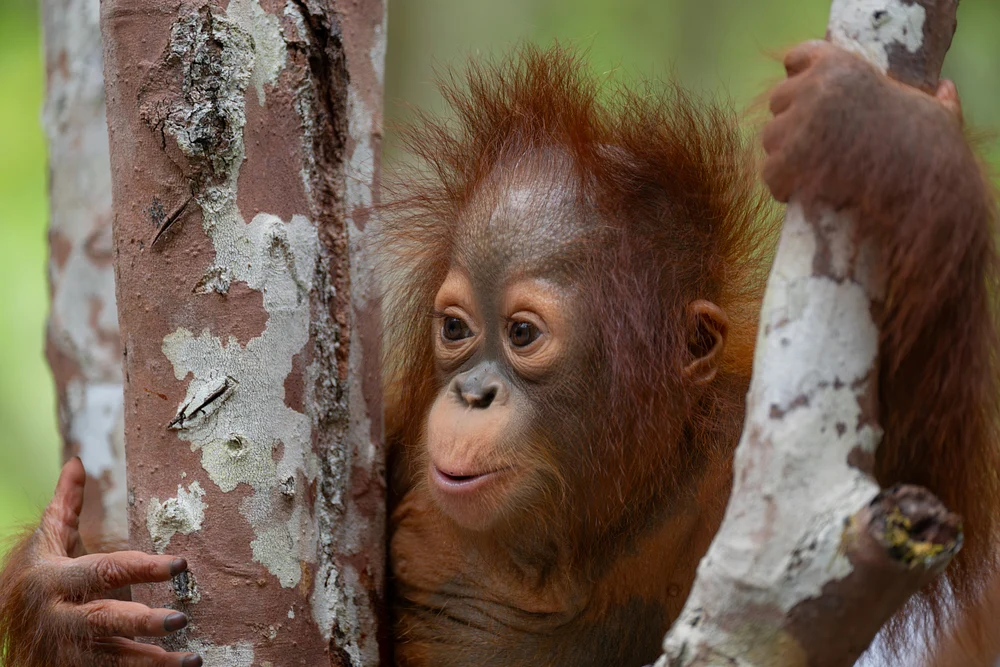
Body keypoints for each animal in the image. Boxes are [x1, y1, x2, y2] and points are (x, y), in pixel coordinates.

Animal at [2, 39, 998, 667]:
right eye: (456, 329)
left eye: (521, 335)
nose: (474, 392)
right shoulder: (403, 445)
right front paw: (64, 601)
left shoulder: (758, 471)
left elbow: (918, 476)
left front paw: (892, 138)